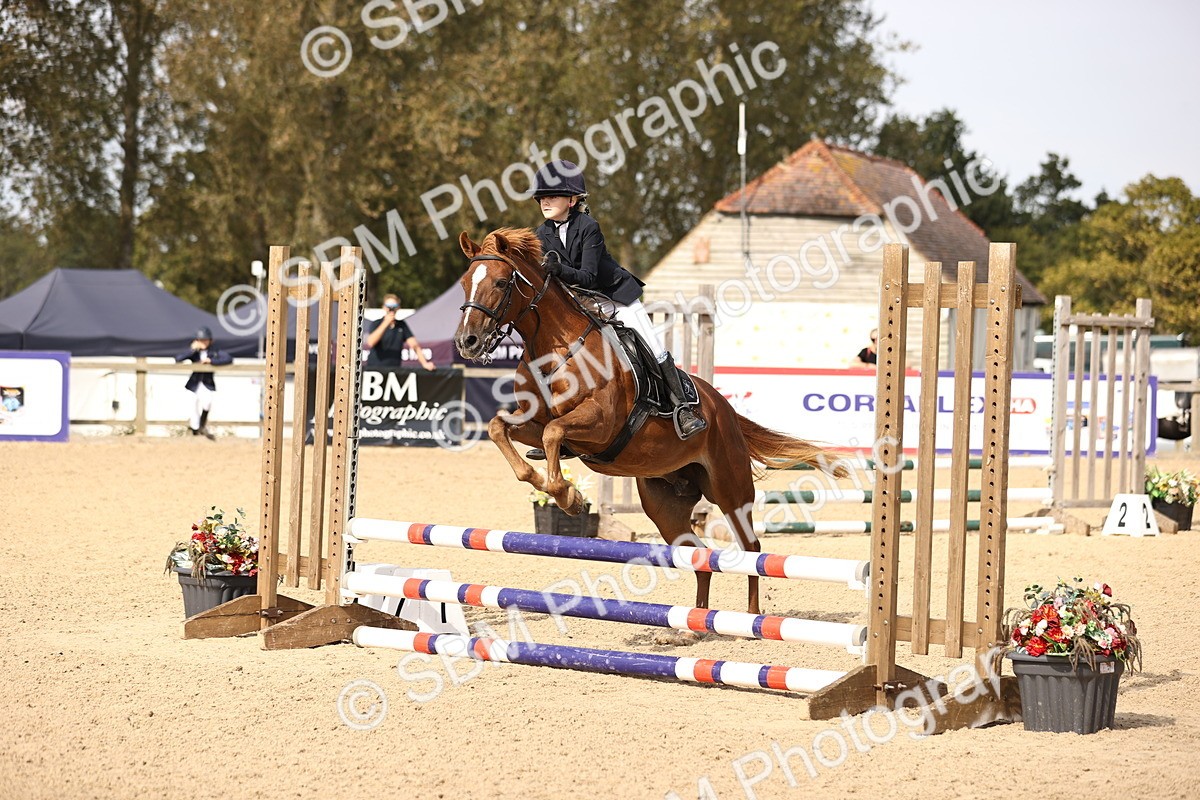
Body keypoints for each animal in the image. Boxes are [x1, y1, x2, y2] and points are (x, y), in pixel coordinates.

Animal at [454, 227, 846, 616]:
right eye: (464, 283)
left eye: (501, 282)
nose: (467, 342)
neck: (554, 350)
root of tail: (725, 410)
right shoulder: (533, 422)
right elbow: (500, 428)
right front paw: (548, 484)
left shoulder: (599, 425)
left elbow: (553, 432)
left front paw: (569, 498)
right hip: (665, 502)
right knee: (699, 555)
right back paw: (692, 625)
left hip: (730, 489)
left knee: (752, 548)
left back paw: (750, 618)